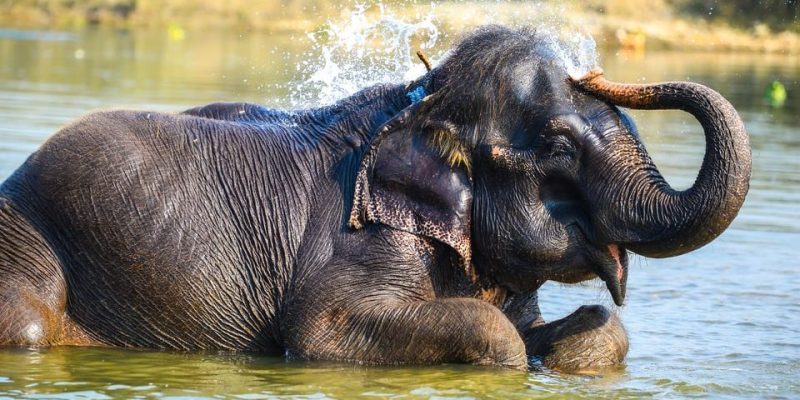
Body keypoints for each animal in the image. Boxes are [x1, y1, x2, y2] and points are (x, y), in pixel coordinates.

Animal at [0, 26, 750, 372]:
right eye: (560, 147)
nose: (596, 70)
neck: (424, 101)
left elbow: (595, 330)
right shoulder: (361, 242)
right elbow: (321, 334)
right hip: (24, 236)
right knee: (28, 328)